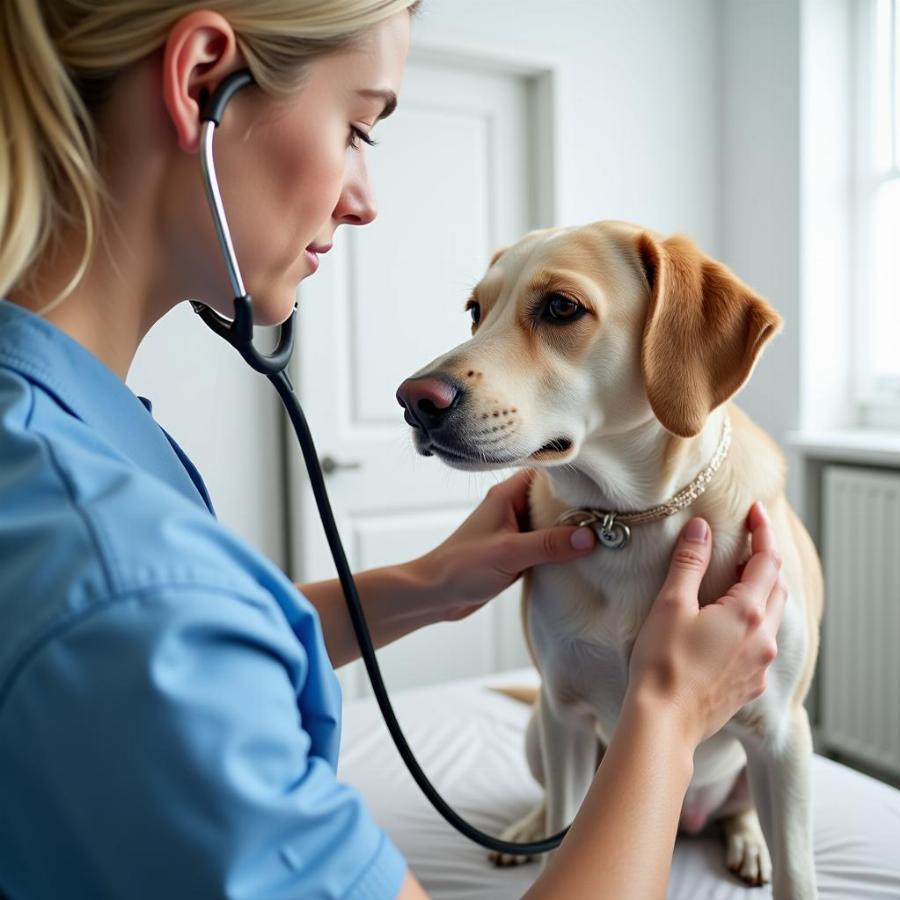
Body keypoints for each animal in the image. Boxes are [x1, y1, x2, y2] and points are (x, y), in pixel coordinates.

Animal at [398, 220, 828, 900]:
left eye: (560, 308)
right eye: (475, 311)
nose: (414, 399)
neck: (630, 518)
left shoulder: (783, 731)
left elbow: (797, 874)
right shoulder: (566, 716)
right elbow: (562, 836)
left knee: (740, 812)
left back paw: (747, 841)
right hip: (540, 731)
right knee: (552, 805)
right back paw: (526, 828)